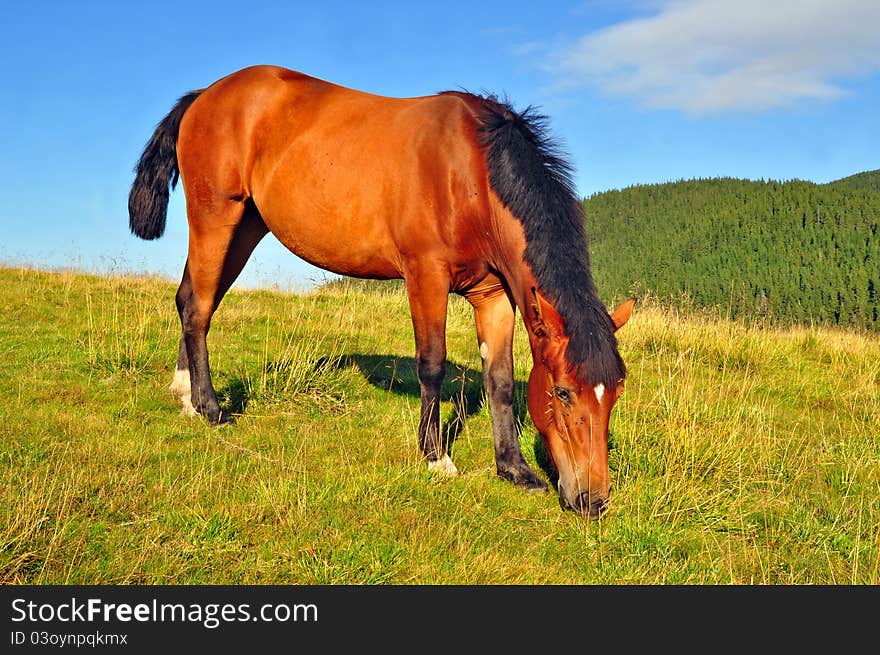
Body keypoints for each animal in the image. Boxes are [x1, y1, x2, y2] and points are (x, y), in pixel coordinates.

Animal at [129, 65, 632, 516]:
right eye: (563, 393)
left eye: (616, 393)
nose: (593, 500)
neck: (471, 170)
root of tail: (205, 95)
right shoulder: (426, 275)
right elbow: (432, 364)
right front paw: (436, 456)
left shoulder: (494, 295)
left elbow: (502, 380)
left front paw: (514, 468)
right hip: (215, 218)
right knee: (198, 306)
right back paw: (210, 408)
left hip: (245, 227)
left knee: (193, 299)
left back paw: (185, 394)